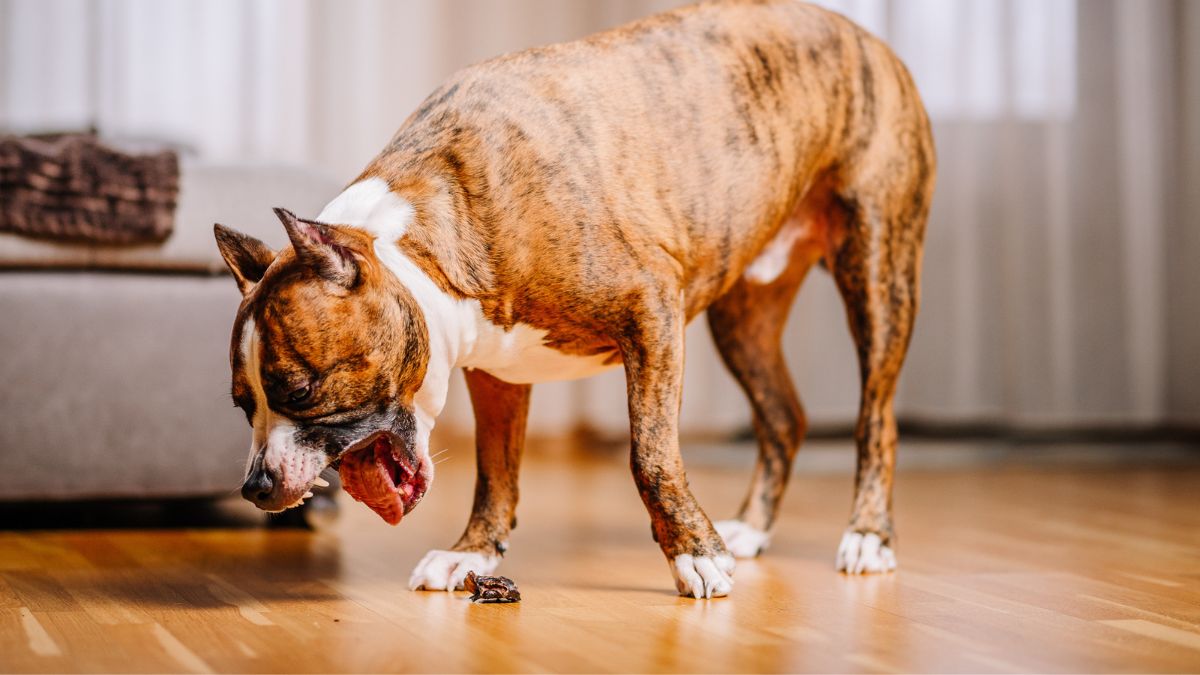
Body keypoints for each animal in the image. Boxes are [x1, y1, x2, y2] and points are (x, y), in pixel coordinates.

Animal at [216, 1, 931, 598]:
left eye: (298, 390)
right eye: (241, 404)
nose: (255, 485)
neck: (424, 248)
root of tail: (866, 38)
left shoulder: (652, 315)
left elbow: (650, 456)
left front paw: (694, 555)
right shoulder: (500, 375)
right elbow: (494, 472)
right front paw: (473, 552)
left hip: (878, 271)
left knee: (877, 418)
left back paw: (868, 535)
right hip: (744, 316)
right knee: (783, 416)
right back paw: (753, 527)